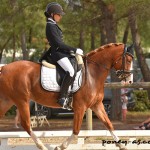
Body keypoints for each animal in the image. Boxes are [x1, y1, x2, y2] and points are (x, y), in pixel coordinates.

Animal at [0, 42, 134, 149]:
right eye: (128, 60)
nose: (130, 81)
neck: (92, 74)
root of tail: (4, 67)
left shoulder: (96, 105)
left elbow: (109, 124)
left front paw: (122, 146)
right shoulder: (80, 107)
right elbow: (76, 130)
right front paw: (60, 146)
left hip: (7, 100)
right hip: (21, 100)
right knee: (26, 124)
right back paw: (42, 146)